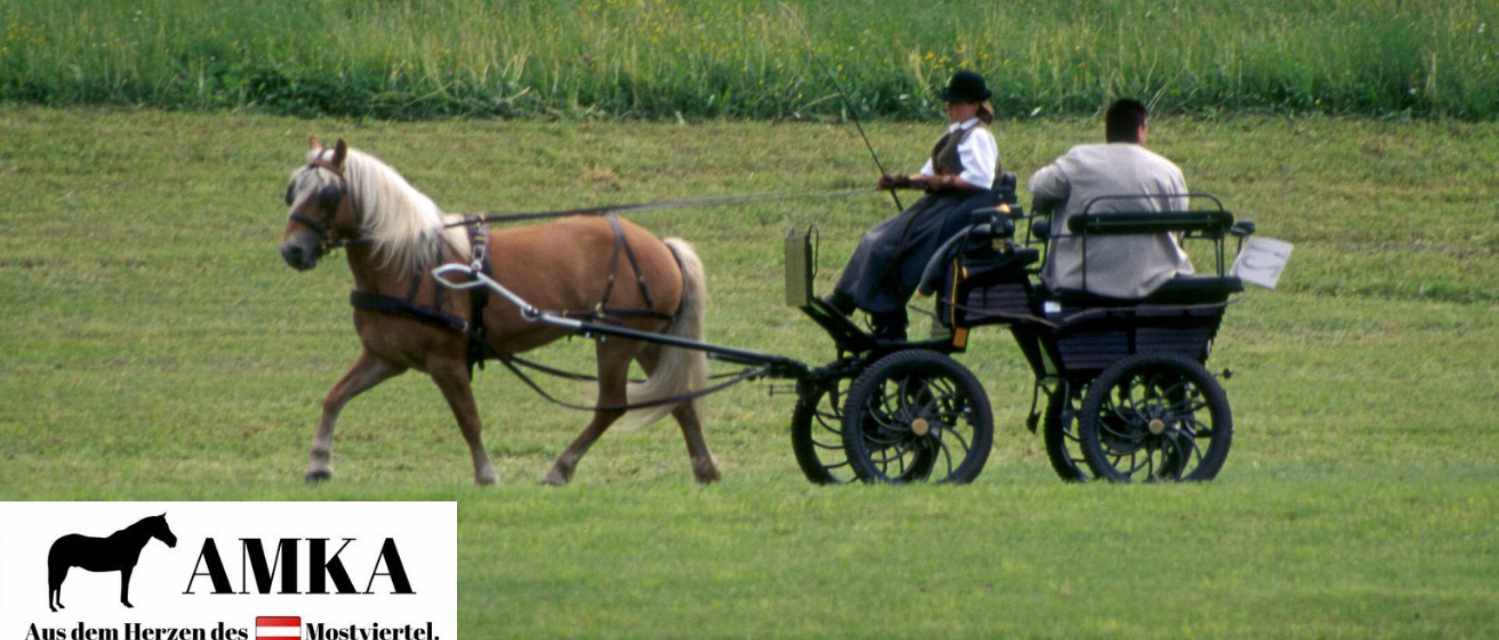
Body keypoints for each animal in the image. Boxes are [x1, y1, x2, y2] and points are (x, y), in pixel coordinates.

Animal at [48, 513, 177, 612]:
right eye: (164, 527)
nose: (174, 541)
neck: (131, 541)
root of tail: (55, 543)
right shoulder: (127, 569)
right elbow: (125, 585)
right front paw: (127, 603)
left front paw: (124, 602)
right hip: (60, 569)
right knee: (53, 586)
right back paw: (53, 608)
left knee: (57, 586)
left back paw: (59, 605)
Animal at [278, 136, 717, 486]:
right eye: (292, 191)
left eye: (329, 195)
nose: (292, 251)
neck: (411, 264)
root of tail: (661, 246)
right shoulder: (385, 357)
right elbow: (335, 397)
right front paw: (318, 463)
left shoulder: (446, 361)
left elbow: (468, 418)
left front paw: (486, 474)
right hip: (646, 341)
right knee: (680, 398)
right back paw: (704, 468)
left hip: (618, 342)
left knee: (612, 405)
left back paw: (562, 467)